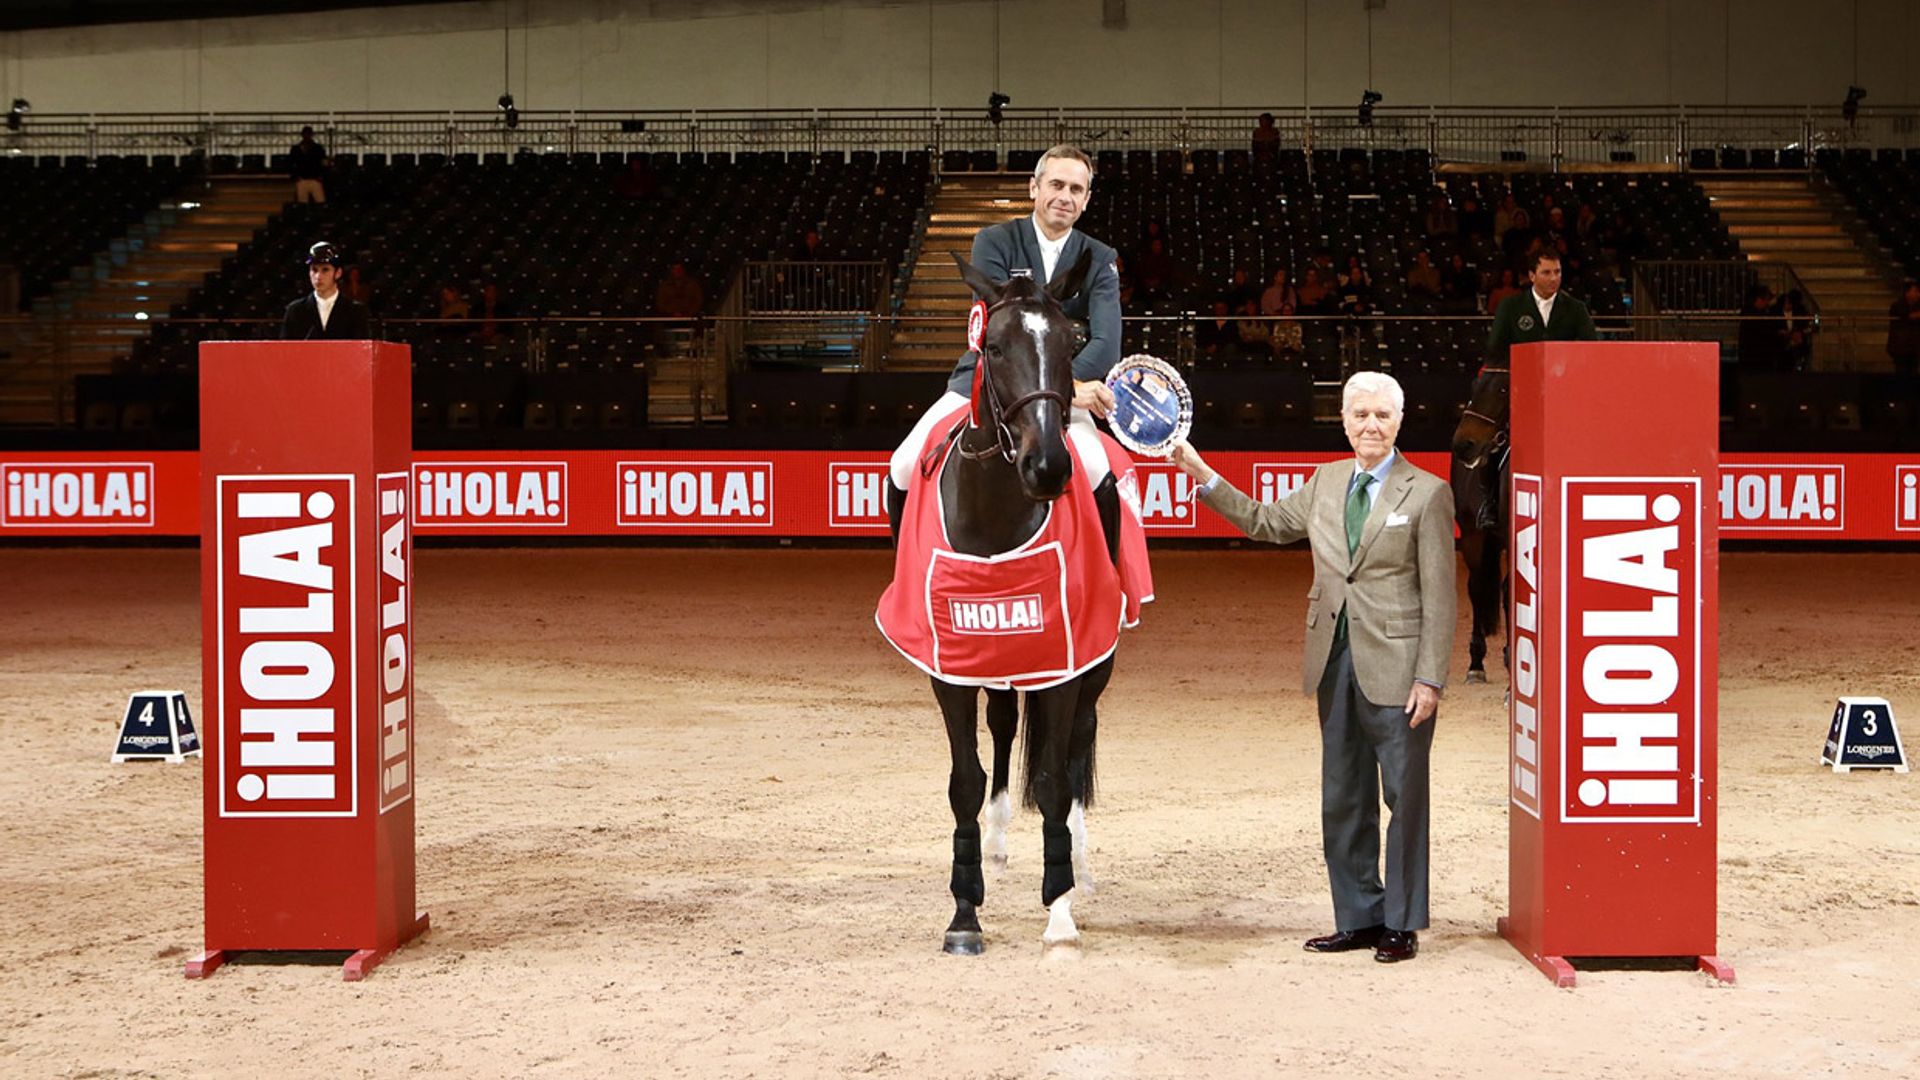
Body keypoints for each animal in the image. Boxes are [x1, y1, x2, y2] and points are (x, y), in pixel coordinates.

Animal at [879, 249, 1136, 949]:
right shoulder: (949, 664)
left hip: (1095, 661)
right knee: (1001, 723)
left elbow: (1051, 781)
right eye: (991, 346)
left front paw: (1060, 908)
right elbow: (965, 780)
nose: (1047, 466)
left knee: (1076, 745)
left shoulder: (1067, 661)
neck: (996, 509)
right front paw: (964, 913)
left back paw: (1078, 858)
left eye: (1073, 344)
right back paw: (995, 839)